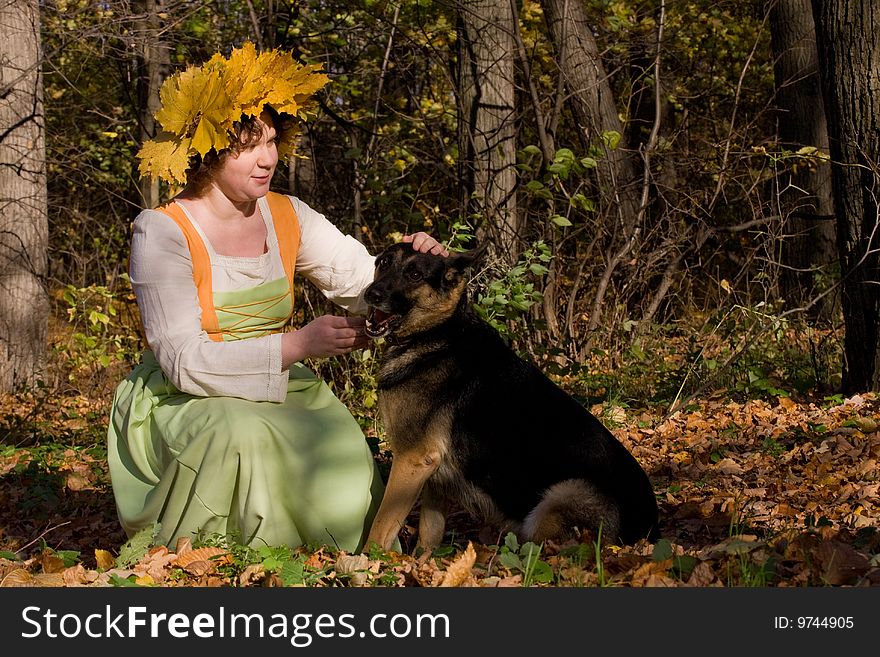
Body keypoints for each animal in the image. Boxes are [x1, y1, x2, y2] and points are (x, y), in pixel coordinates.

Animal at [360, 243, 656, 552]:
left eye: (415, 274)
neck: (437, 332)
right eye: (383, 263)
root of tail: (649, 531)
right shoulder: (433, 475)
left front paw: (368, 561)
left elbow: (381, 526)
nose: (371, 294)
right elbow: (429, 534)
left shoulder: (411, 460)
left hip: (559, 497)